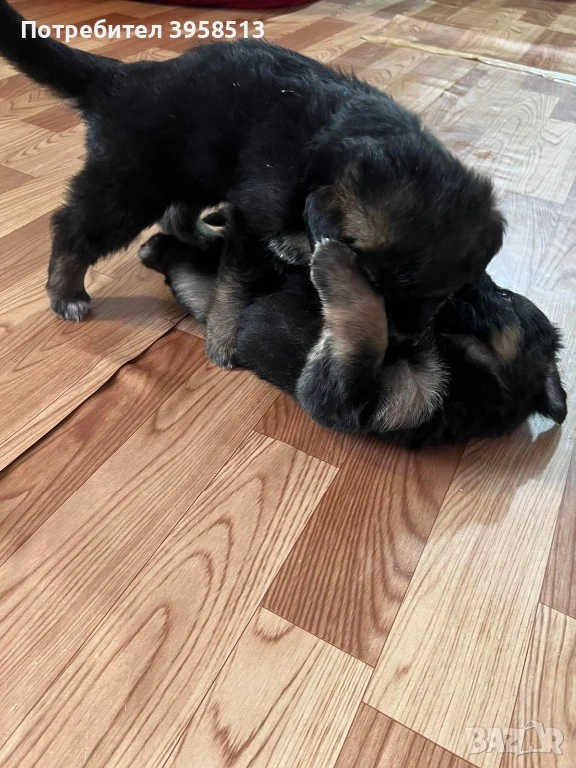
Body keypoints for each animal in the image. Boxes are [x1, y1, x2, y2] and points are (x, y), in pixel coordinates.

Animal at [0, 0, 504, 368]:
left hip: (198, 167)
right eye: (371, 287)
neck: (334, 151)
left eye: (439, 295)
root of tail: (122, 78)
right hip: (132, 184)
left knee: (176, 213)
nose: (398, 341)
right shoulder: (256, 216)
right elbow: (234, 286)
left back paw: (203, 233)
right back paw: (66, 292)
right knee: (73, 227)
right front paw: (223, 341)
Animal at [139, 231, 567, 448]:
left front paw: (335, 264)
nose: (473, 276)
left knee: (182, 263)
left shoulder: (348, 397)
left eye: (505, 298)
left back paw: (155, 247)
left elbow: (364, 326)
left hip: (200, 293)